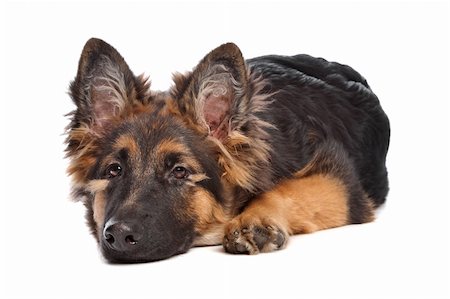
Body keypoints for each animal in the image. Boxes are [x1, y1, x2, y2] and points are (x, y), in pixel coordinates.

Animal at [66, 38, 390, 264]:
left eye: (180, 171)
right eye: (114, 170)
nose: (118, 235)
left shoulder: (341, 181)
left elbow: (287, 189)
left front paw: (255, 220)